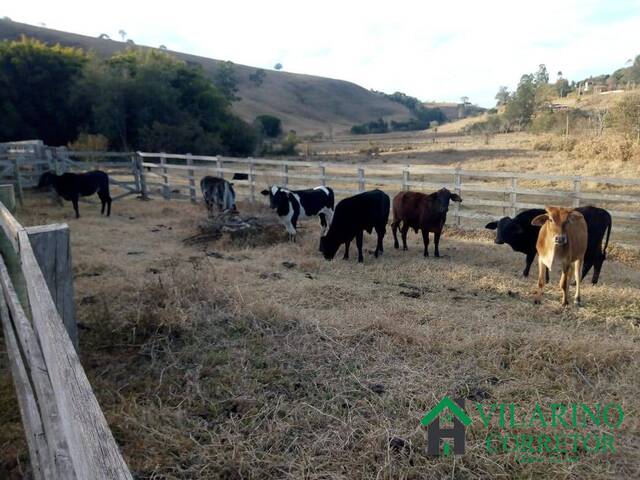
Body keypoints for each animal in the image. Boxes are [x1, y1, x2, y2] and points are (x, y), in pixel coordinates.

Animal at [484, 204, 616, 284]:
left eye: (509, 228)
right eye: (498, 227)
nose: (497, 240)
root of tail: (602, 211)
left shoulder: (533, 249)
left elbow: (529, 261)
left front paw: (525, 274)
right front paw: (546, 279)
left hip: (590, 246)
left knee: (591, 261)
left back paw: (577, 282)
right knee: (598, 259)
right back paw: (593, 281)